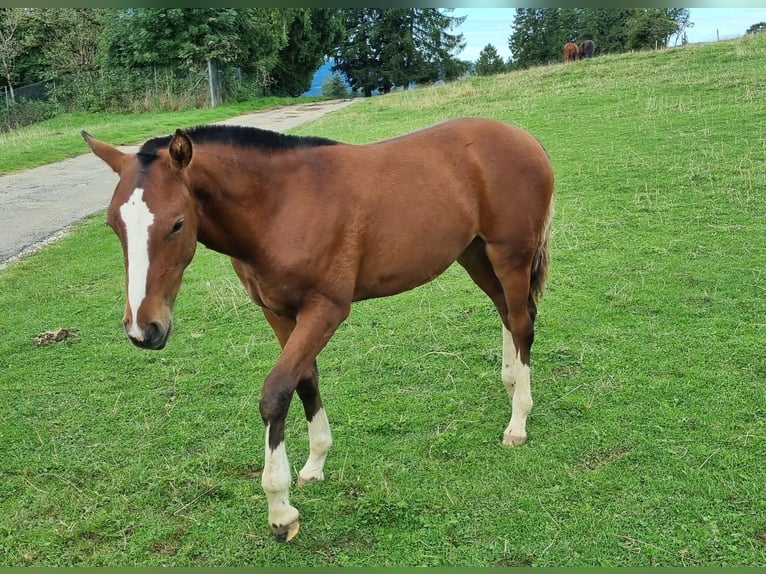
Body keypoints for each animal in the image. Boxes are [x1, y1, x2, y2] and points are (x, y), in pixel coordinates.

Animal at [82, 117, 555, 542]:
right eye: (113, 225)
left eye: (177, 223)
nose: (144, 329)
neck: (280, 205)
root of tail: (524, 138)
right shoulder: (278, 313)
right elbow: (305, 380)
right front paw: (314, 465)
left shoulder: (325, 311)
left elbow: (276, 392)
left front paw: (280, 511)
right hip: (474, 254)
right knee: (505, 312)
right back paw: (510, 383)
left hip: (510, 255)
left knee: (521, 321)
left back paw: (518, 419)